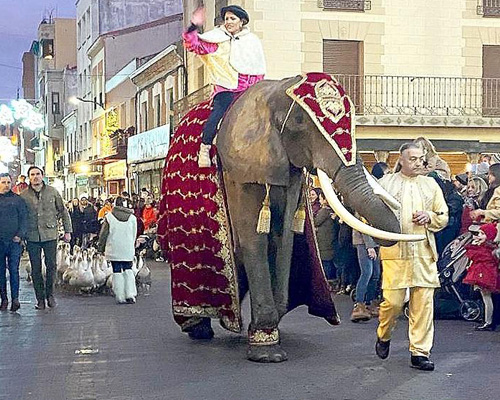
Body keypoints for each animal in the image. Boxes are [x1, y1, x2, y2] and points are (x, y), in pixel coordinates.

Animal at [159, 71, 422, 362]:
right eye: (298, 122)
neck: (275, 89)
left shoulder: (290, 170)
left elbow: (282, 238)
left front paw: (268, 329)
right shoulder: (240, 169)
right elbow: (254, 240)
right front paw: (267, 350)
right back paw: (197, 327)